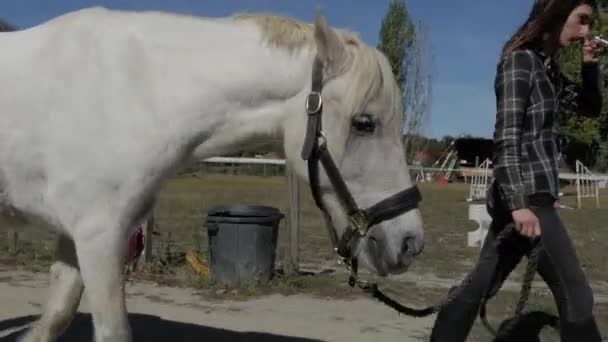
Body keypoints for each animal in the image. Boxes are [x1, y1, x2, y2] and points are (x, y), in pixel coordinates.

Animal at [0, 7, 426, 342]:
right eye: (364, 123)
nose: (411, 243)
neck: (137, 92)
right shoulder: (97, 237)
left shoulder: (77, 237)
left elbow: (53, 320)